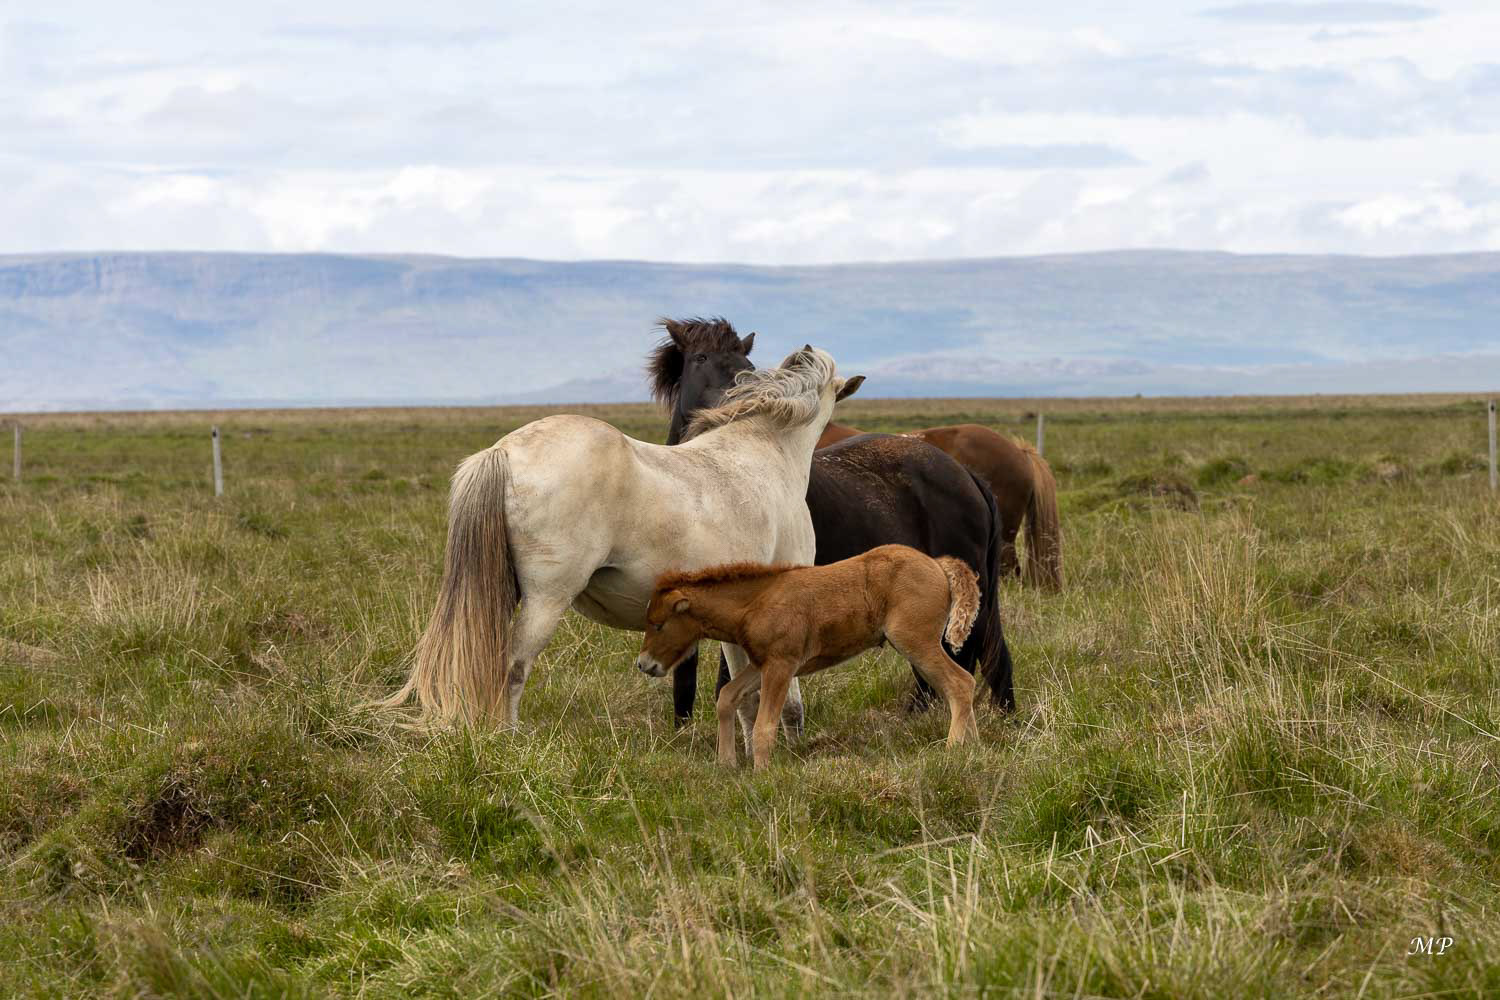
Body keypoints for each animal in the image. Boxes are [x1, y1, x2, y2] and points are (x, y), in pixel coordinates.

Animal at [637, 545, 982, 768]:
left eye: (658, 624)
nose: (643, 663)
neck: (755, 602)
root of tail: (938, 565)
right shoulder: (762, 663)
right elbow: (727, 697)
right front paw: (726, 765)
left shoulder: (781, 664)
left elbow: (764, 726)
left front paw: (762, 776)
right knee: (961, 687)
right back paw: (971, 748)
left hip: (914, 640)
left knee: (960, 683)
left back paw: (953, 750)